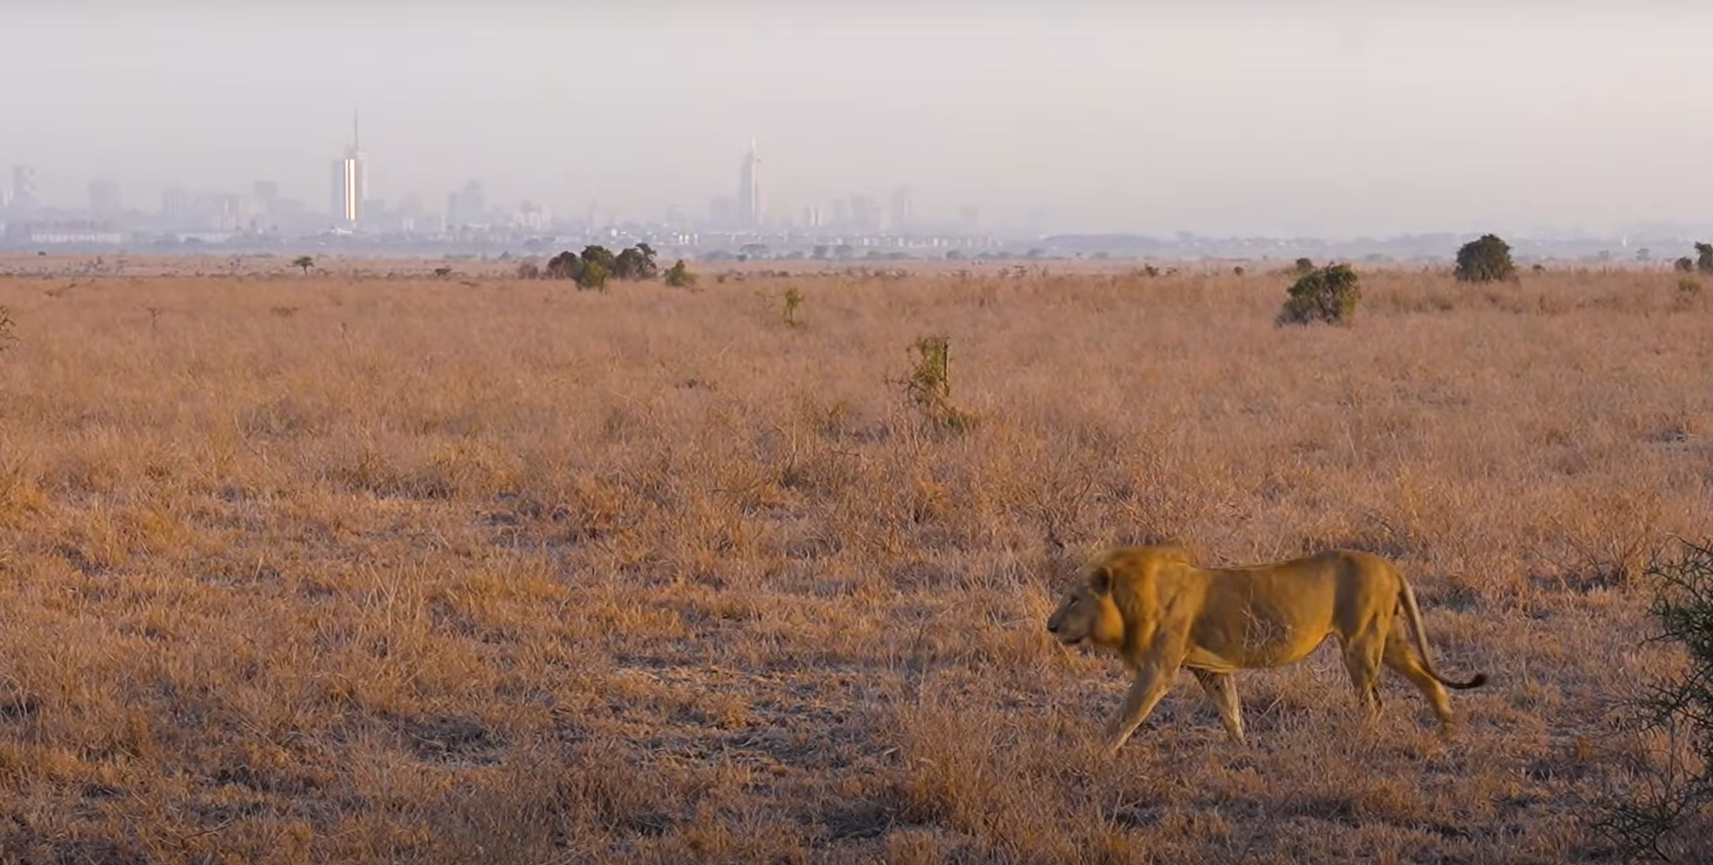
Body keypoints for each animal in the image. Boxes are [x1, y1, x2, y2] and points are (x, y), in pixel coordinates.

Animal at [1041, 544, 1486, 753]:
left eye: (1074, 599)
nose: (1050, 626)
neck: (1131, 598)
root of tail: (1391, 567)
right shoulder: (1210, 668)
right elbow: (1230, 711)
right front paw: (1242, 749)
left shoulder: (1158, 670)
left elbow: (1125, 715)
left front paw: (1096, 754)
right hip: (1388, 639)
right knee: (1429, 680)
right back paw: (1448, 729)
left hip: (1360, 644)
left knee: (1375, 702)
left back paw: (1364, 739)